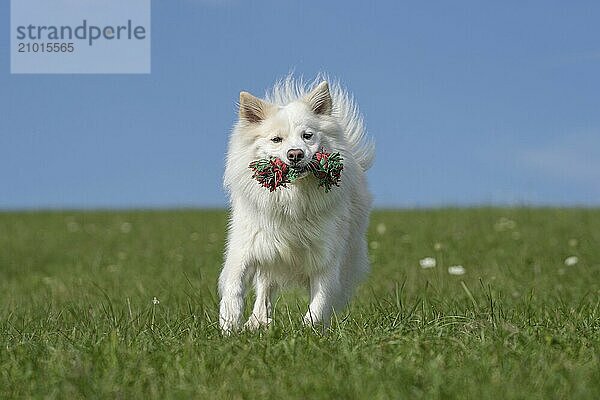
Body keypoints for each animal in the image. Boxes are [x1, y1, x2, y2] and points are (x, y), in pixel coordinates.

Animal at [218, 76, 372, 332]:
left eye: (307, 136)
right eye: (276, 139)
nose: (295, 154)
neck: (292, 199)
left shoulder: (326, 257)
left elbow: (319, 300)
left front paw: (309, 331)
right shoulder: (246, 247)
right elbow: (234, 286)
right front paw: (229, 325)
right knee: (264, 288)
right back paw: (257, 322)